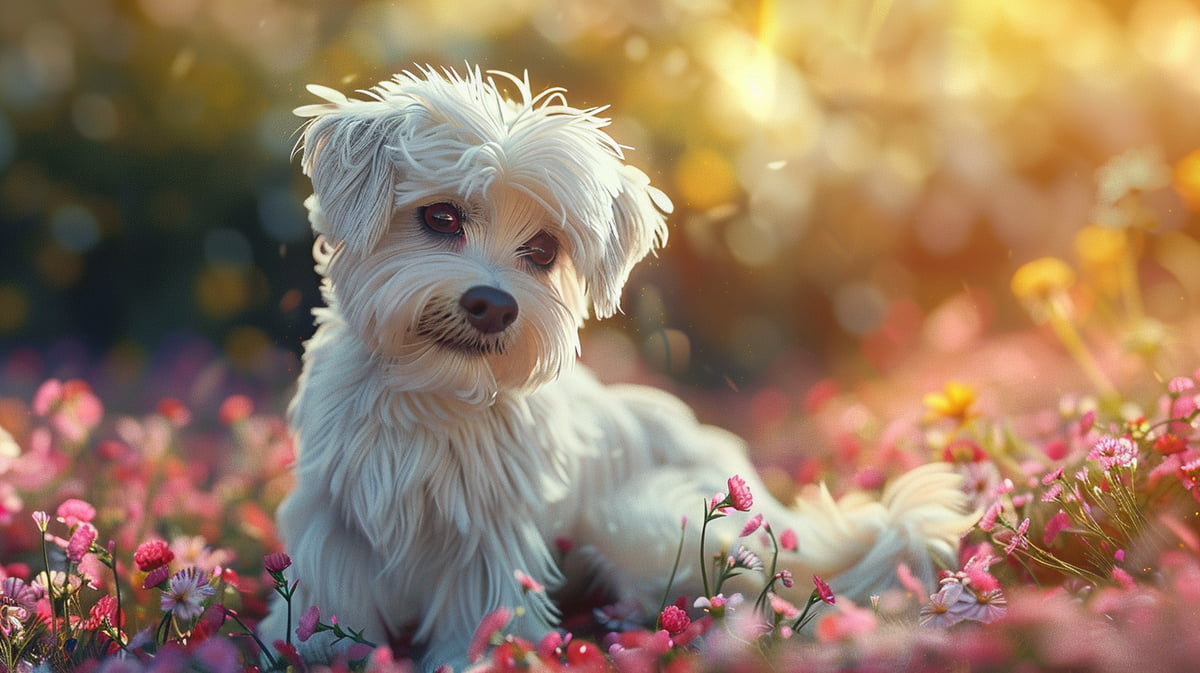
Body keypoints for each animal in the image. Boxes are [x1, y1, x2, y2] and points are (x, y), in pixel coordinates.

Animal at [260, 65, 974, 667]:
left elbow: (482, 609)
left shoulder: (494, 532)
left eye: (543, 249)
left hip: (637, 522)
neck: (433, 390)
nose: (493, 304)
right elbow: (331, 595)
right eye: (440, 216)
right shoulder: (332, 512)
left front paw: (472, 658)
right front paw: (306, 648)